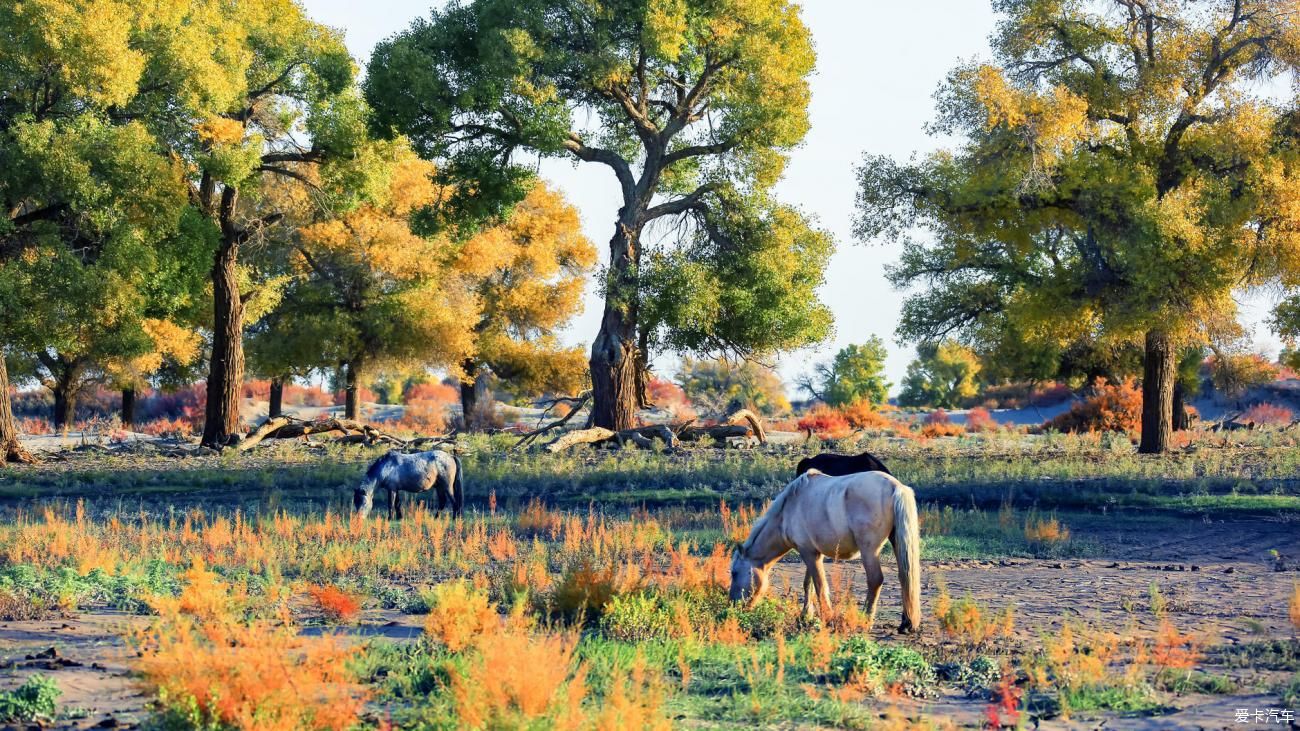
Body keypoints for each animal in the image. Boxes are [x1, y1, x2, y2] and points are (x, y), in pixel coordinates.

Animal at [728, 465, 920, 632]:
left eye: (734, 573)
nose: (732, 605)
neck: (789, 509)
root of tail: (896, 487)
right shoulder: (812, 553)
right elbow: (809, 584)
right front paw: (805, 616)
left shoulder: (808, 553)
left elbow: (819, 585)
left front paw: (826, 617)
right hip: (897, 544)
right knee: (905, 576)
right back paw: (906, 623)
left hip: (869, 551)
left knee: (875, 580)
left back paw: (866, 620)